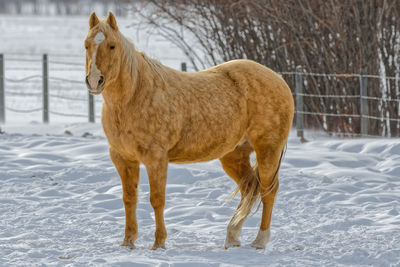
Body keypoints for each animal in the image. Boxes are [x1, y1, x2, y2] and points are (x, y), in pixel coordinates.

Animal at [84, 12, 296, 251]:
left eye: (112, 46)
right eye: (86, 45)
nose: (94, 81)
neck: (135, 96)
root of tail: (279, 79)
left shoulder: (156, 158)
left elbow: (157, 199)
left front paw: (159, 244)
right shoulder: (122, 158)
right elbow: (129, 198)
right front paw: (128, 242)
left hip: (268, 149)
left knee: (269, 190)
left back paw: (259, 241)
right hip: (235, 155)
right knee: (248, 187)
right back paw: (232, 237)